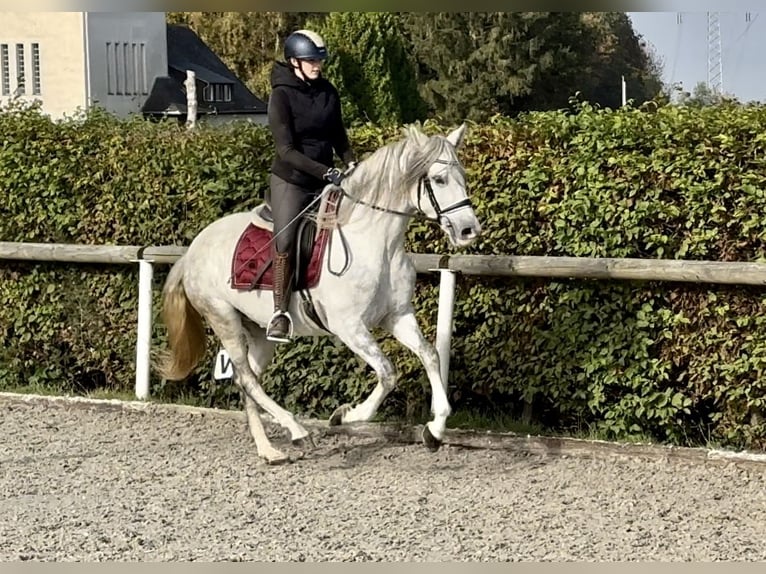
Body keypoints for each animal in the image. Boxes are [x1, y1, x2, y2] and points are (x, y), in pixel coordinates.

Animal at [157, 124, 484, 466]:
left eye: (462, 174)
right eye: (439, 179)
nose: (469, 230)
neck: (376, 242)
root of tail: (191, 251)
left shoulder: (397, 316)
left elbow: (430, 355)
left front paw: (434, 430)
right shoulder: (349, 327)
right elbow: (388, 373)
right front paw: (345, 416)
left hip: (258, 332)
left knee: (247, 381)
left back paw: (269, 450)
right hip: (224, 319)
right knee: (247, 379)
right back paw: (298, 432)